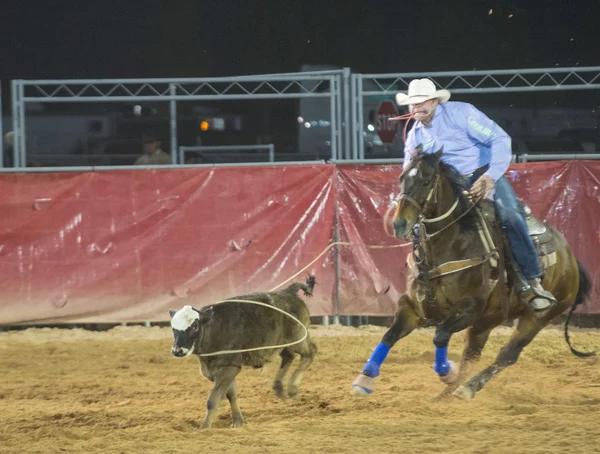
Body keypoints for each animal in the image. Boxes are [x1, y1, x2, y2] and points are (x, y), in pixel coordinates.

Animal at [169, 274, 318, 428]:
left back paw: (292, 388)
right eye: (173, 328)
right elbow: (231, 394)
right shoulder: (222, 370)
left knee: (310, 352)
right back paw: (279, 388)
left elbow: (214, 399)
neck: (214, 329)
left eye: (194, 326)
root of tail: (288, 292)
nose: (177, 350)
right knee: (289, 357)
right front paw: (238, 421)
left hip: (298, 338)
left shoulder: (229, 367)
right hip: (281, 344)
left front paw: (204, 427)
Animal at [352, 147, 592, 400]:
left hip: (538, 317)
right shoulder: (412, 306)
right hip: (487, 322)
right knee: (472, 356)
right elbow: (390, 335)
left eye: (426, 181)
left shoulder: (469, 309)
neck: (449, 245)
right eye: (401, 178)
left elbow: (440, 335)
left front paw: (446, 371)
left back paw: (467, 388)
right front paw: (364, 379)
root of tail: (572, 260)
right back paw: (445, 396)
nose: (399, 223)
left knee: (507, 354)